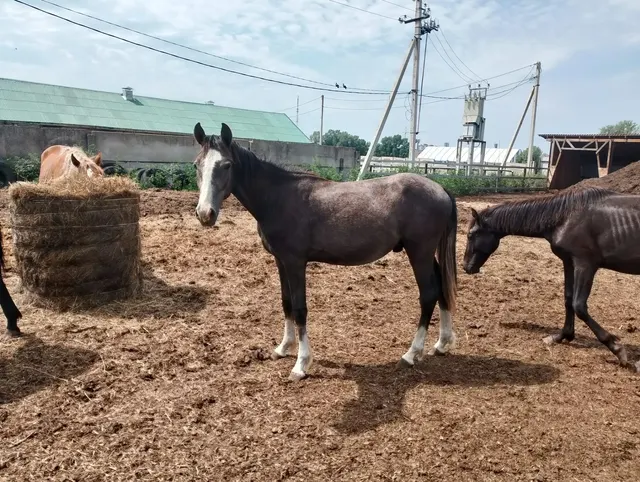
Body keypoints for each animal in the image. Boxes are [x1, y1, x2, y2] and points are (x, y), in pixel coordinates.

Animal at [192, 122, 459, 381]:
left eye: (226, 165)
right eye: (197, 165)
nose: (205, 214)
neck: (278, 198)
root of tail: (440, 189)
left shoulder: (295, 262)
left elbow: (300, 309)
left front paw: (301, 364)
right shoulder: (281, 261)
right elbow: (286, 303)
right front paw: (283, 348)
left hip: (419, 253)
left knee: (428, 294)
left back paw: (411, 354)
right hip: (427, 255)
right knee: (440, 288)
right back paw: (441, 344)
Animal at [462, 186, 640, 373]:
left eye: (470, 234)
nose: (466, 267)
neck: (566, 216)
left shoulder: (585, 265)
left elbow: (579, 306)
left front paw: (616, 348)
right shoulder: (568, 261)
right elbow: (568, 299)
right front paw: (563, 335)